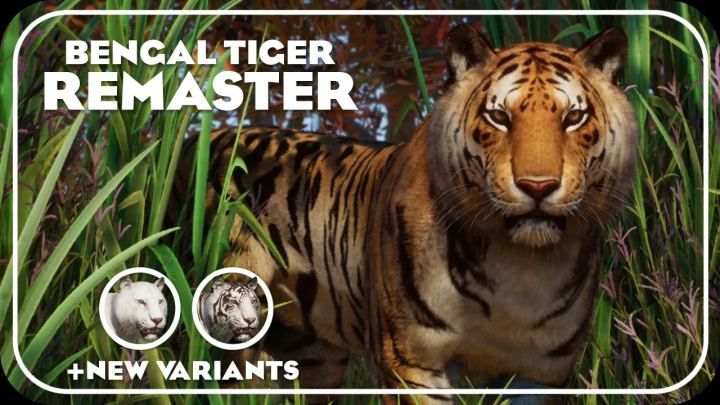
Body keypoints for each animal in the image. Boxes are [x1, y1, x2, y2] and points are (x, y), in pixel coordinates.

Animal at [174, 25, 637, 403]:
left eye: (573, 117)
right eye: (498, 117)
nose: (537, 186)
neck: (520, 266)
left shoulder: (542, 375)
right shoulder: (410, 364)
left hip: (313, 356)